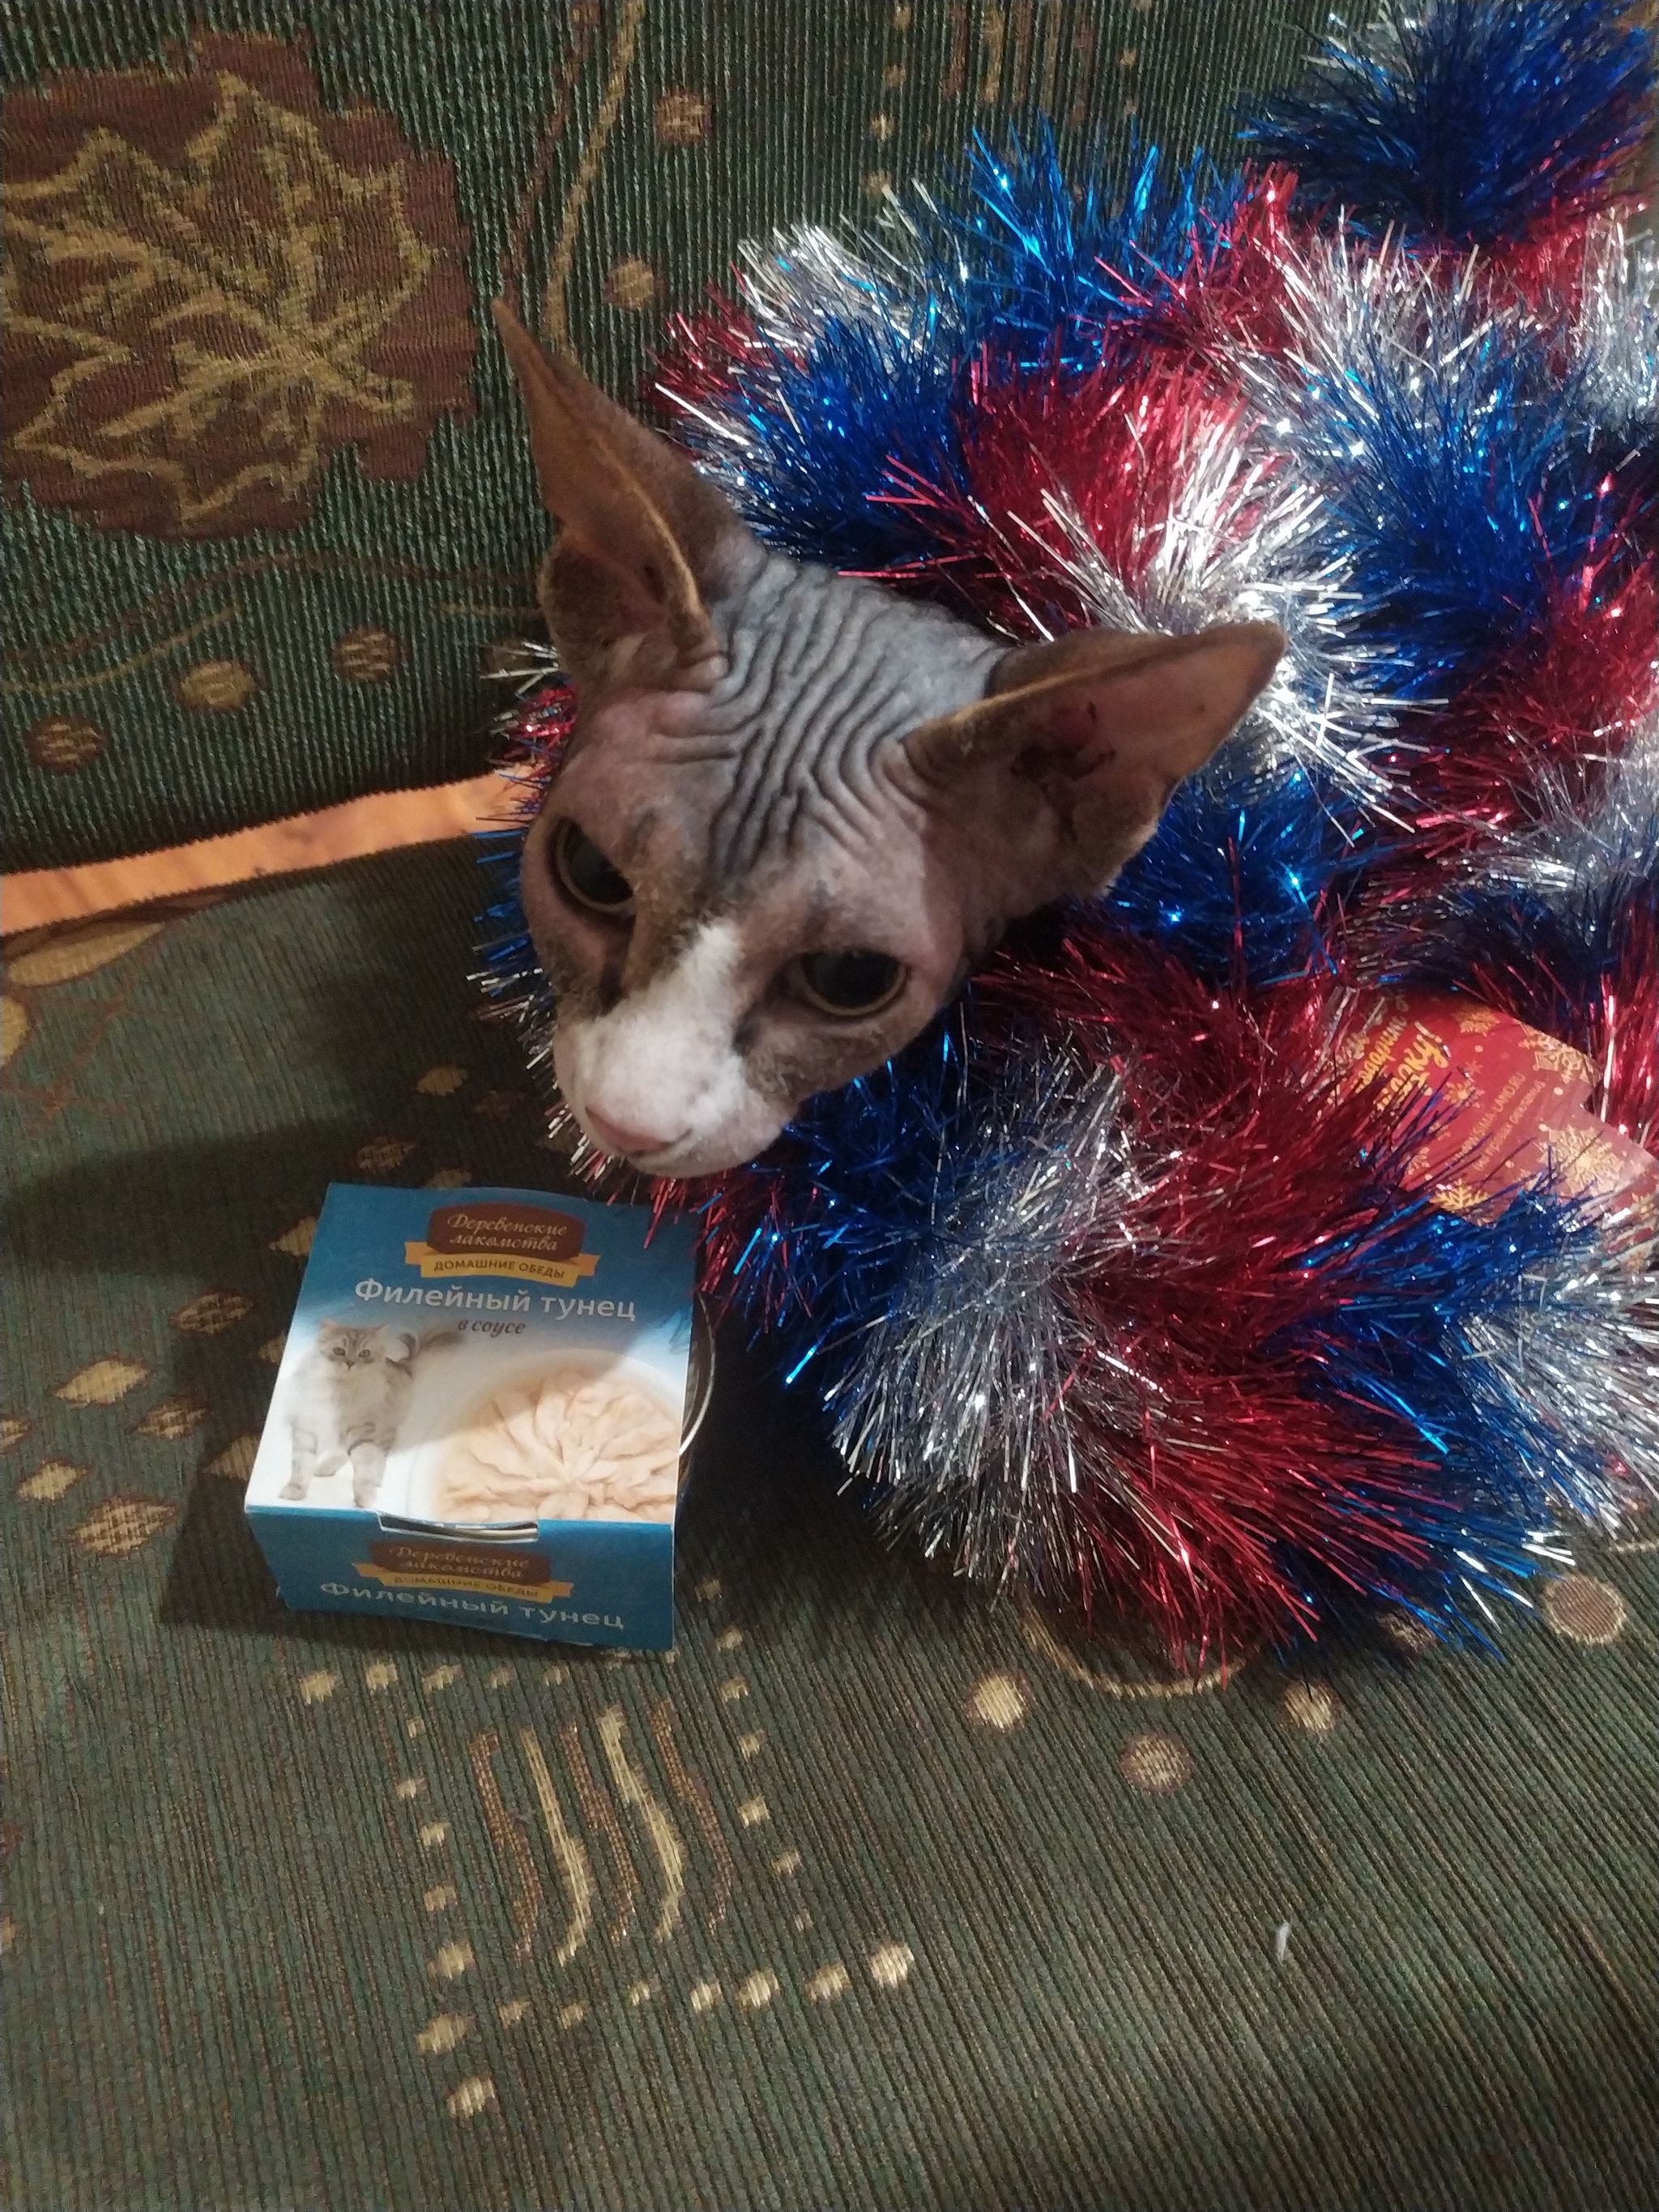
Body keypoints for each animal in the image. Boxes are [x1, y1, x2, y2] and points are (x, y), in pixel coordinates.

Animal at [282, 1319, 423, 1511]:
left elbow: (364, 1468)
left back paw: (374, 1480)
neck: (340, 1391)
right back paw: (324, 1469)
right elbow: (301, 1463)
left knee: (379, 1457)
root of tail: (400, 1364)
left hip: (384, 1431)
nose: (350, 1363)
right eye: (339, 1351)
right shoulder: (307, 1428)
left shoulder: (361, 1429)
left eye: (364, 1353)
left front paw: (365, 1498)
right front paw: (295, 1490)